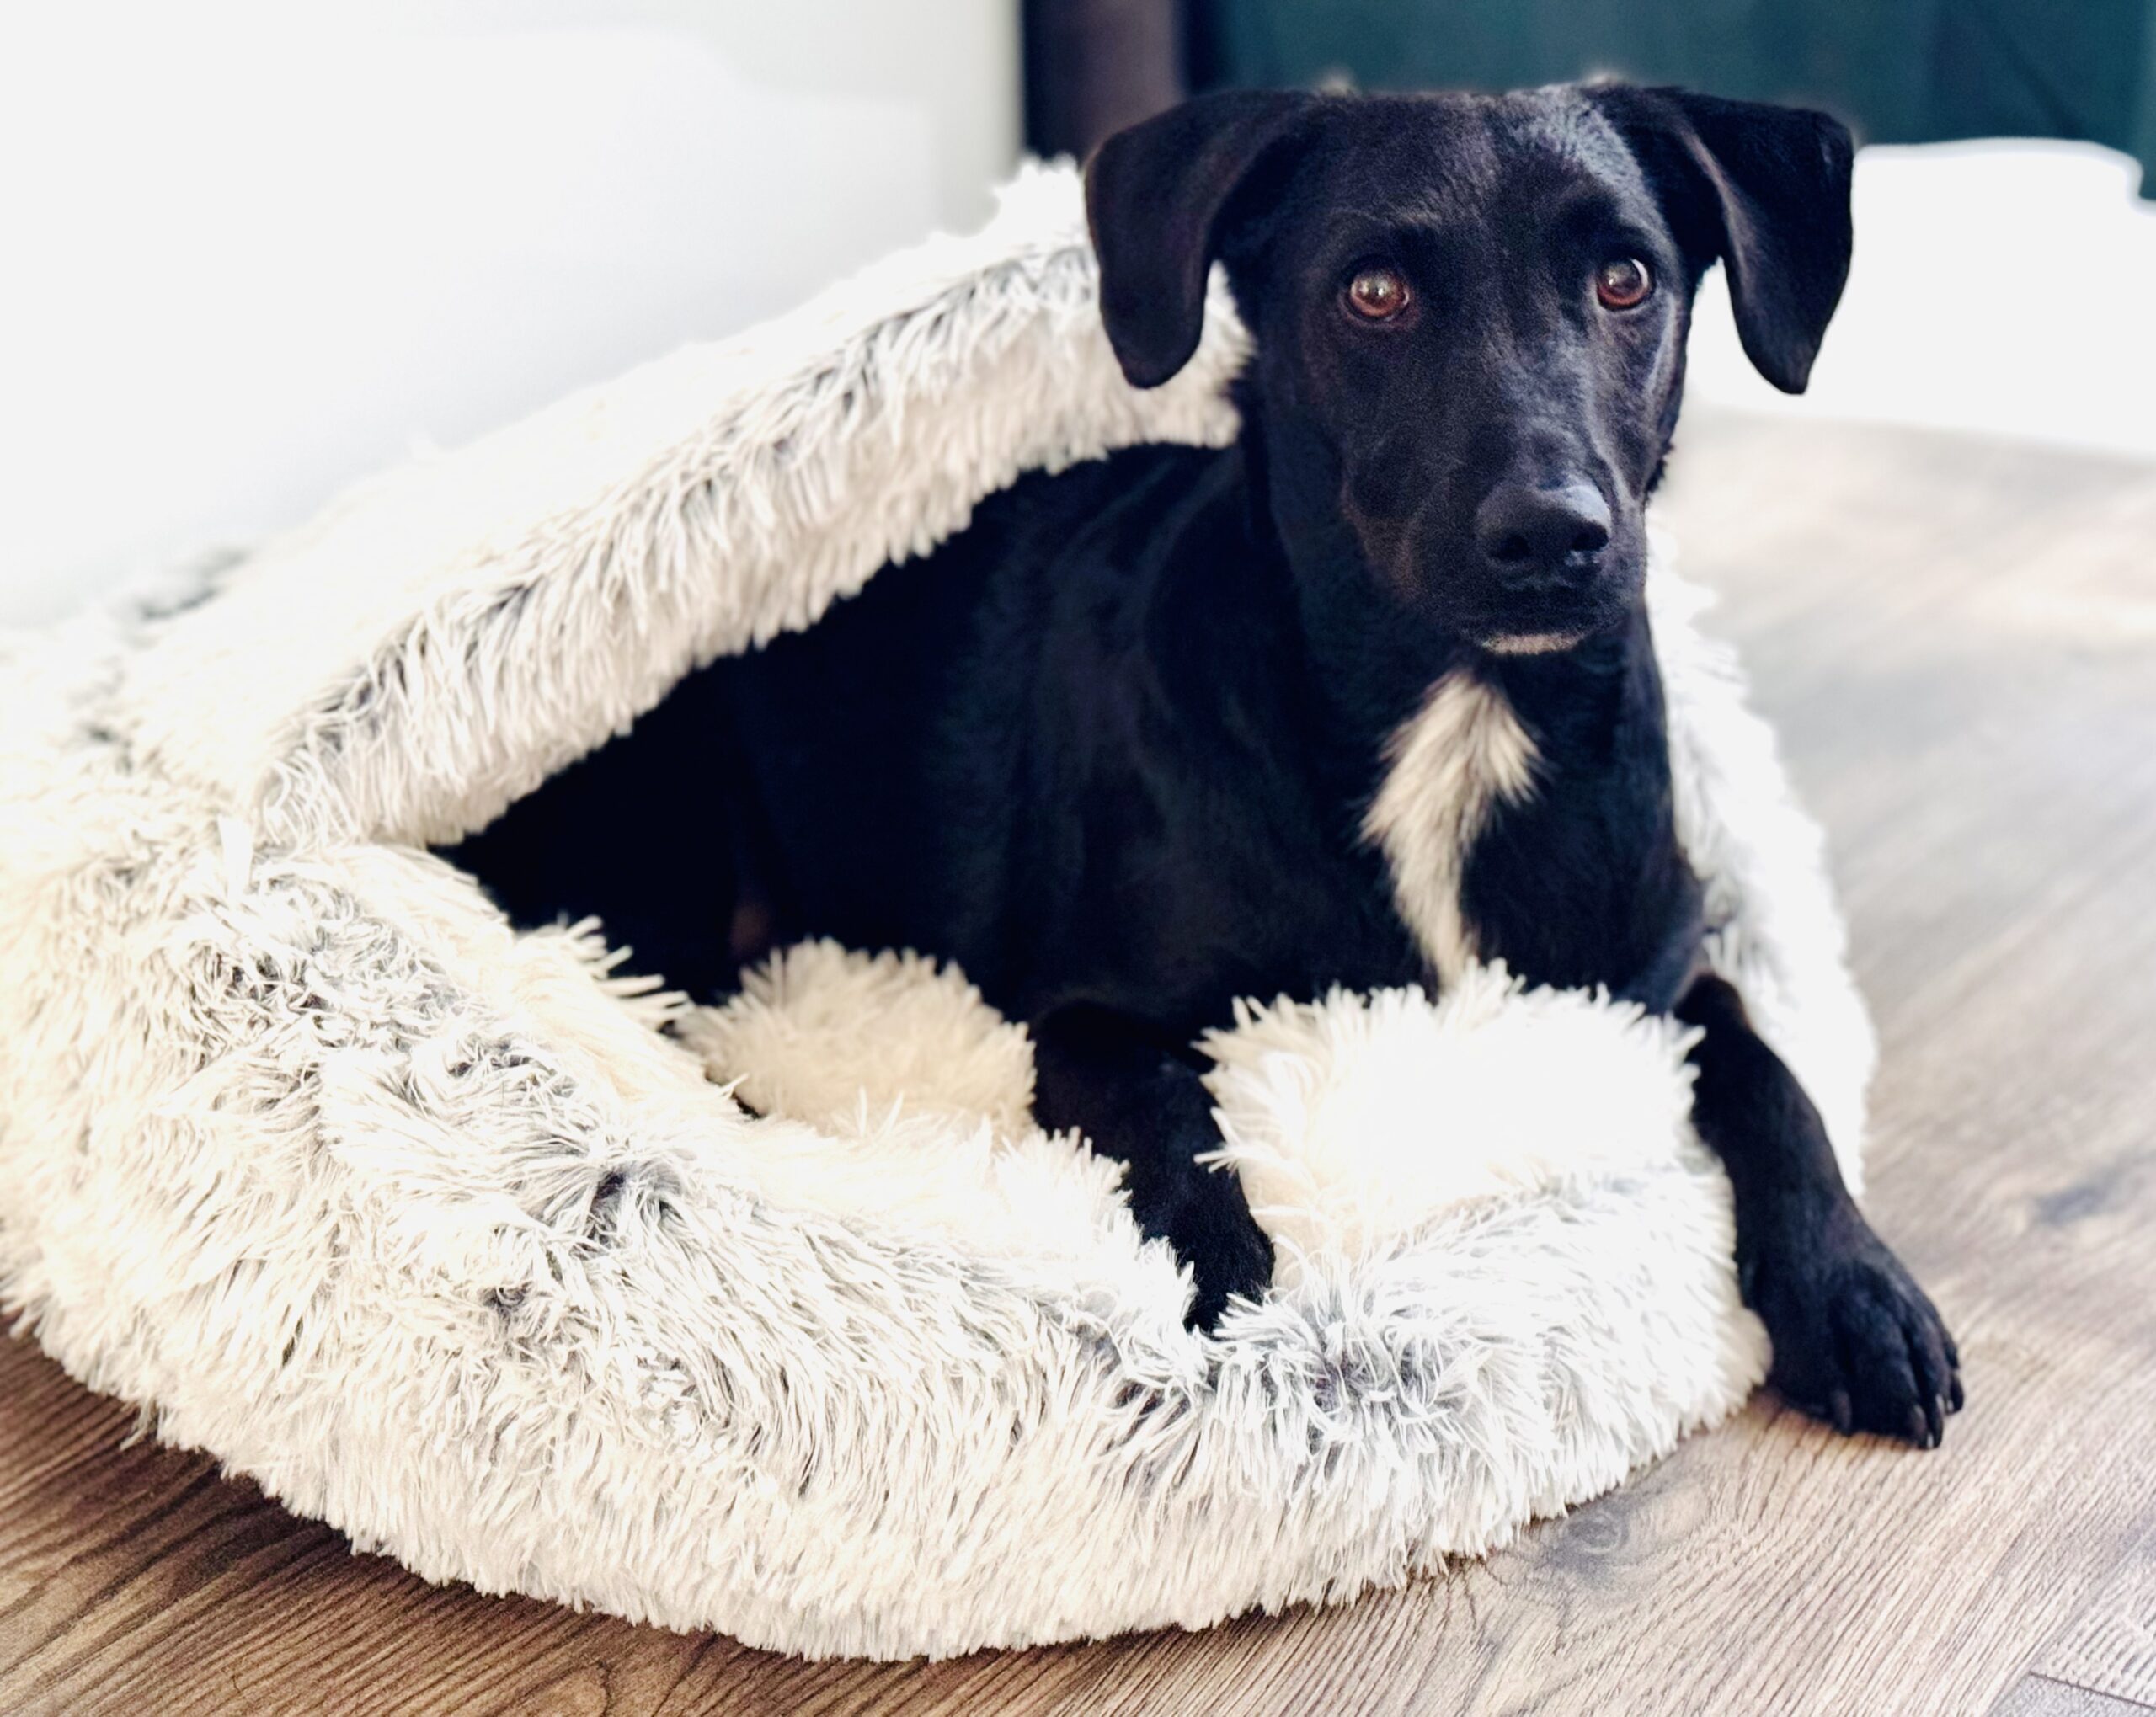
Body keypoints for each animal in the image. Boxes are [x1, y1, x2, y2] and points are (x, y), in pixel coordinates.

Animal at [450, 82, 1962, 1446]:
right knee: (627, 1015)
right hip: (665, 841)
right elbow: (1169, 1103)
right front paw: (1218, 1263)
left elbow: (1768, 1064)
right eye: (1372, 294)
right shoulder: (1086, 1012)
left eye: (1626, 277)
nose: (1554, 533)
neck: (1450, 722)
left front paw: (1854, 1287)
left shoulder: (1638, 979)